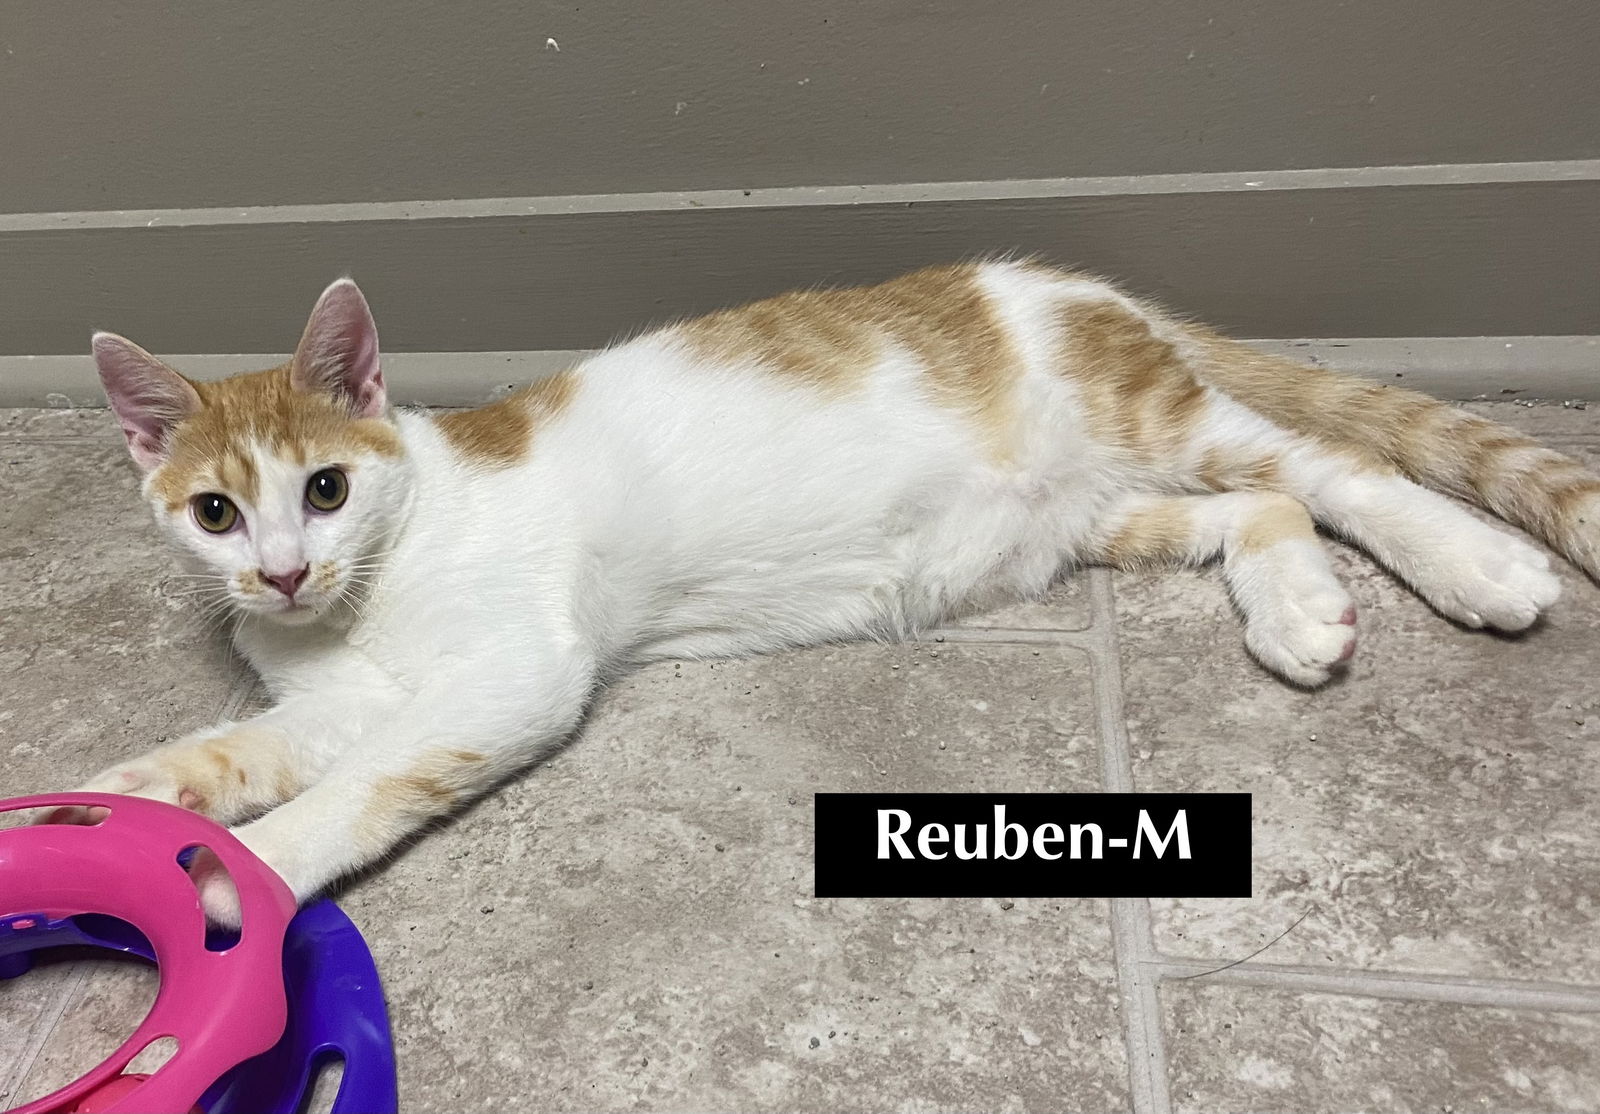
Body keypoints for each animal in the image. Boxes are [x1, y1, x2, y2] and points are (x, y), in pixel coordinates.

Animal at [65, 262, 1587, 921]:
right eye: (215, 511)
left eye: (325, 486)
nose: (280, 569)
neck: (368, 594)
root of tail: (1076, 284)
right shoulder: (336, 694)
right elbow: (245, 746)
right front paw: (123, 800)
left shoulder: (511, 671)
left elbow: (365, 782)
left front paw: (249, 870)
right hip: (1096, 514)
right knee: (1262, 508)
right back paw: (1296, 605)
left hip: (1160, 418)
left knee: (1331, 468)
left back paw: (1473, 561)